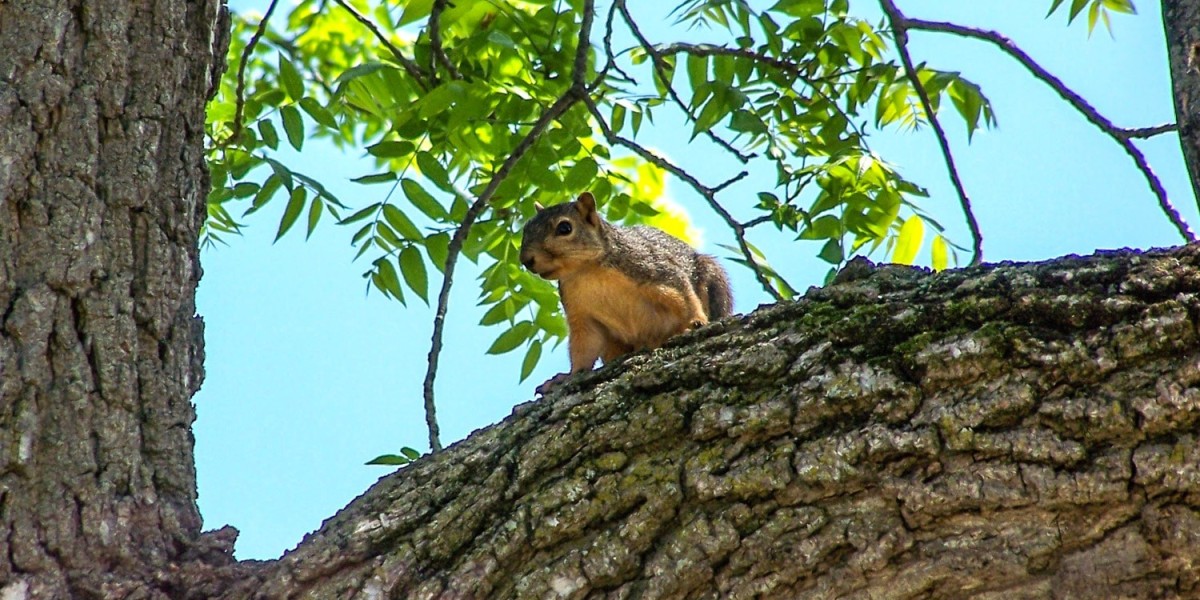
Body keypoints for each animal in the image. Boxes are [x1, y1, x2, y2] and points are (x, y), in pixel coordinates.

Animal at [523, 189, 734, 391]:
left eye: (565, 228)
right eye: (525, 229)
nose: (526, 260)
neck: (587, 271)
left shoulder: (653, 269)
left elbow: (685, 295)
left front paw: (696, 321)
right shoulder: (579, 313)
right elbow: (585, 345)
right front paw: (568, 376)